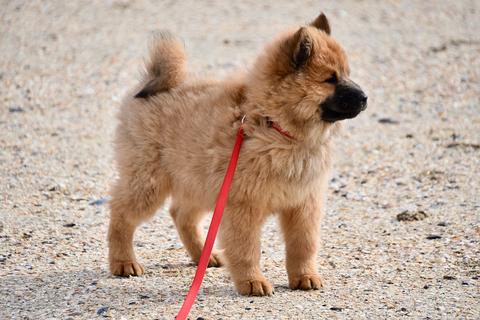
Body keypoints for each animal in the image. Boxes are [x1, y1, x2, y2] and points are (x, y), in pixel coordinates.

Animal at [108, 13, 368, 298]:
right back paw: (123, 262)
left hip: (198, 182)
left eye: (347, 74)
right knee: (121, 214)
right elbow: (247, 249)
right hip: (149, 183)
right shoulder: (244, 205)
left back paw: (204, 256)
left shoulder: (303, 204)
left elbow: (303, 246)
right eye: (330, 79)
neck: (274, 125)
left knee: (181, 215)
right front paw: (252, 282)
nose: (365, 97)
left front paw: (304, 277)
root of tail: (155, 83)